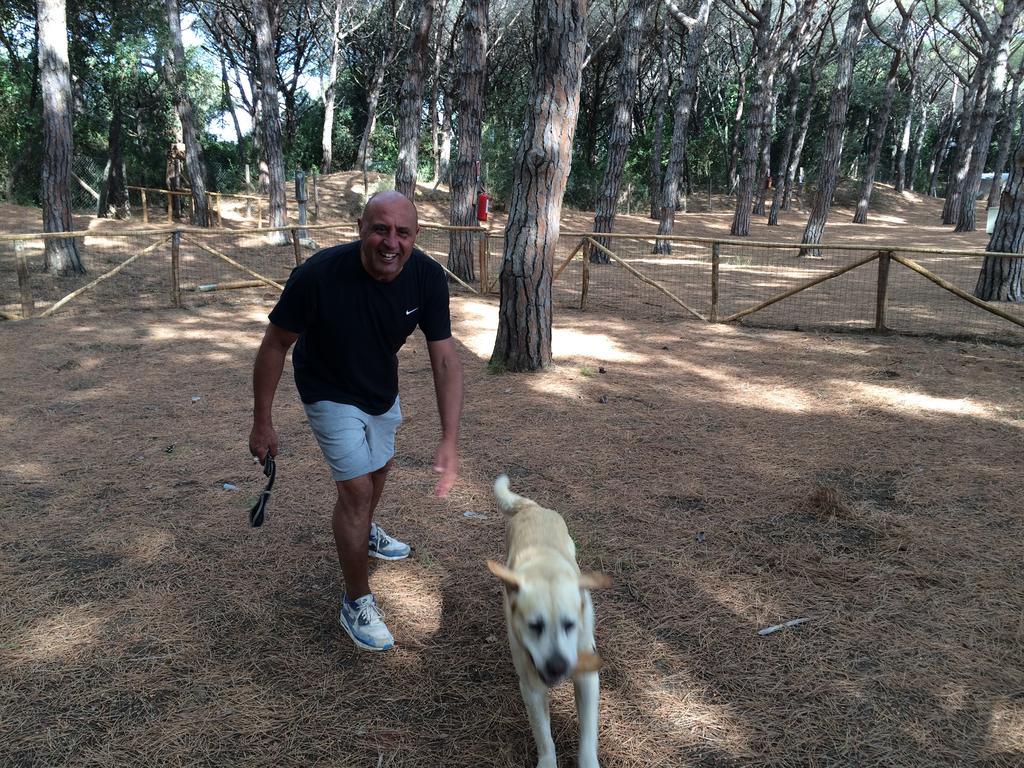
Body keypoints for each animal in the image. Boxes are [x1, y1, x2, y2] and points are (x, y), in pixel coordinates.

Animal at [485, 475, 606, 768]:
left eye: (569, 624)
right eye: (535, 626)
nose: (557, 666)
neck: (545, 566)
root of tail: (533, 508)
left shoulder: (587, 677)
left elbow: (588, 735)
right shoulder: (531, 686)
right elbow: (544, 736)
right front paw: (548, 761)